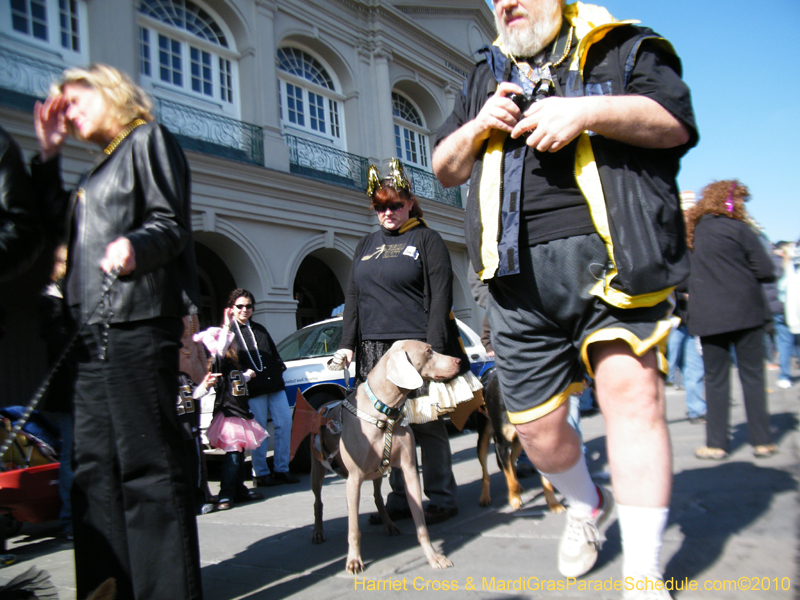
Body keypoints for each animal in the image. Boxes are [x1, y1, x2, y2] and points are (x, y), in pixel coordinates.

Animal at [308, 340, 456, 576]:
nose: (458, 360)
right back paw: (318, 532)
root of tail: (323, 406)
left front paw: (433, 557)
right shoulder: (354, 479)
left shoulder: (409, 469)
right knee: (317, 502)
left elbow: (420, 522)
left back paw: (389, 524)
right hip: (317, 469)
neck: (386, 411)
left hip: (377, 473)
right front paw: (353, 561)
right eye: (428, 351)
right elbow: (353, 528)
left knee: (378, 498)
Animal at [478, 372, 564, 512]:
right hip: (483, 439)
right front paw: (514, 500)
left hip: (519, 443)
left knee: (512, 462)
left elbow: (547, 481)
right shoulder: (501, 445)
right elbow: (510, 480)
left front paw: (553, 503)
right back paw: (485, 497)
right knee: (486, 473)